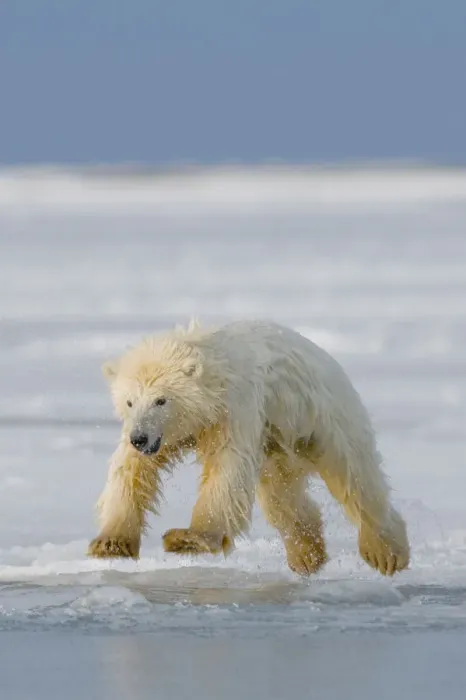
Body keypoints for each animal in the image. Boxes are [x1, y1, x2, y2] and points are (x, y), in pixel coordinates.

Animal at [88, 319, 410, 577]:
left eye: (161, 400)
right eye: (129, 401)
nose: (140, 438)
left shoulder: (234, 410)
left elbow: (226, 469)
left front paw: (189, 538)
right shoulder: (163, 432)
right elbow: (131, 471)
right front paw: (109, 543)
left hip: (321, 417)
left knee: (354, 477)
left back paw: (386, 554)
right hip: (277, 445)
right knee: (281, 495)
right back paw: (307, 555)